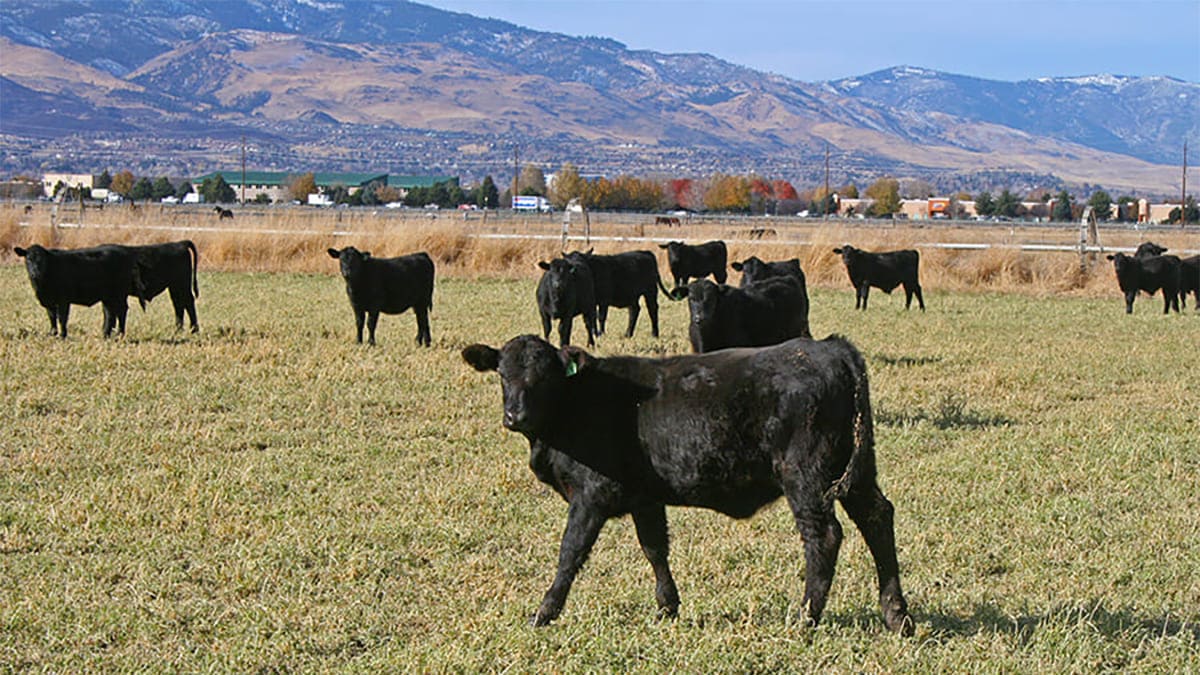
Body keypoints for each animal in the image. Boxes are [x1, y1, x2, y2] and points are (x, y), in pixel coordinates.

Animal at [15, 241, 144, 338]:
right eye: (28, 259)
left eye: (43, 260)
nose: (35, 273)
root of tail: (126, 253)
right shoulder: (49, 301)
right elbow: (51, 317)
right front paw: (52, 333)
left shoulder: (63, 300)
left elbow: (62, 318)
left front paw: (62, 335)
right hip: (108, 296)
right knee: (110, 313)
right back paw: (105, 334)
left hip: (119, 294)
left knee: (121, 311)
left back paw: (119, 334)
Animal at [463, 333, 912, 634]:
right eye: (502, 374)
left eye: (545, 377)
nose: (515, 416)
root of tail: (828, 346)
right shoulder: (645, 498)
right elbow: (655, 548)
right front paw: (667, 607)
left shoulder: (591, 496)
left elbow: (570, 553)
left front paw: (544, 612)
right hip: (855, 474)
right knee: (878, 519)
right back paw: (896, 615)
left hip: (806, 477)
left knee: (825, 536)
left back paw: (805, 618)